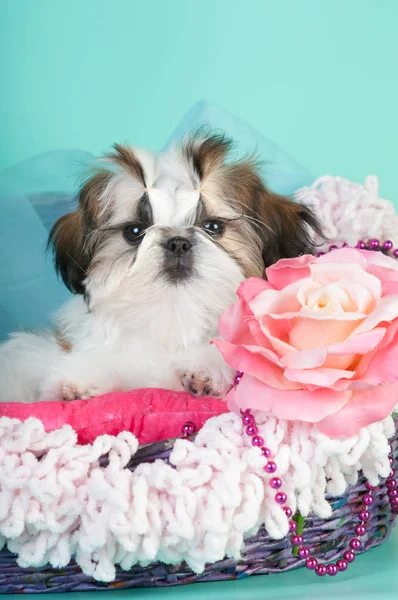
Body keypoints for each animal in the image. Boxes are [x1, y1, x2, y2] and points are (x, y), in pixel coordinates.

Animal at [0, 131, 322, 404]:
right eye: (134, 232)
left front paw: (206, 368)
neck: (173, 313)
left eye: (213, 227)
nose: (177, 242)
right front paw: (81, 379)